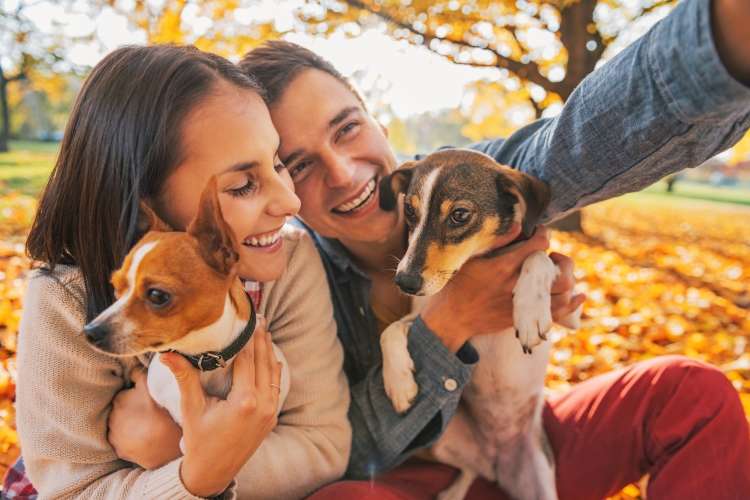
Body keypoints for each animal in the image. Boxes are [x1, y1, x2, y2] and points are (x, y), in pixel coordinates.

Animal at [382, 148, 580, 500]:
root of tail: (496, 461)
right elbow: (389, 330)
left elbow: (540, 259)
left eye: (460, 215)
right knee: (471, 469)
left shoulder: (567, 304)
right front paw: (399, 384)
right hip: (440, 440)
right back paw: (452, 493)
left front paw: (530, 310)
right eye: (410, 210)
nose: (404, 281)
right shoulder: (425, 313)